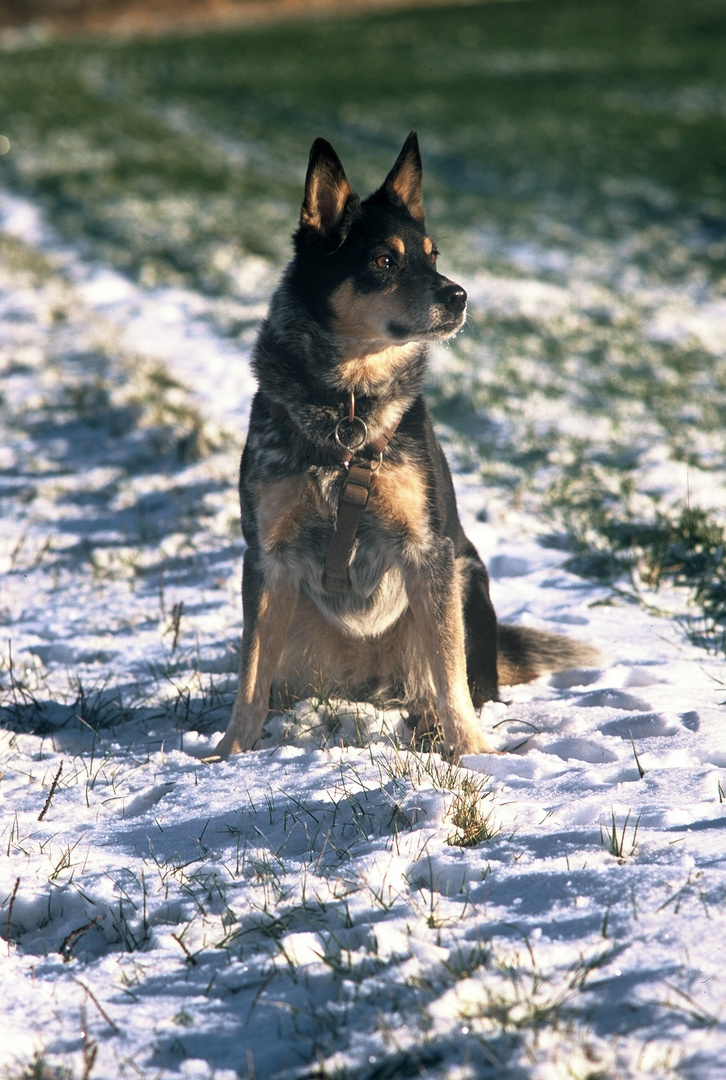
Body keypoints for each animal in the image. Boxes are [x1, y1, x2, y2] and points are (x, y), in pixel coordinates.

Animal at [211, 132, 600, 760]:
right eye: (384, 260)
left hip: (468, 580)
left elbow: (449, 674)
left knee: (455, 681)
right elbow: (249, 676)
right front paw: (228, 752)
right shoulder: (267, 558)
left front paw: (473, 752)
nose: (460, 295)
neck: (347, 407)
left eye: (432, 255)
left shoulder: (429, 552)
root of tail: (371, 683)